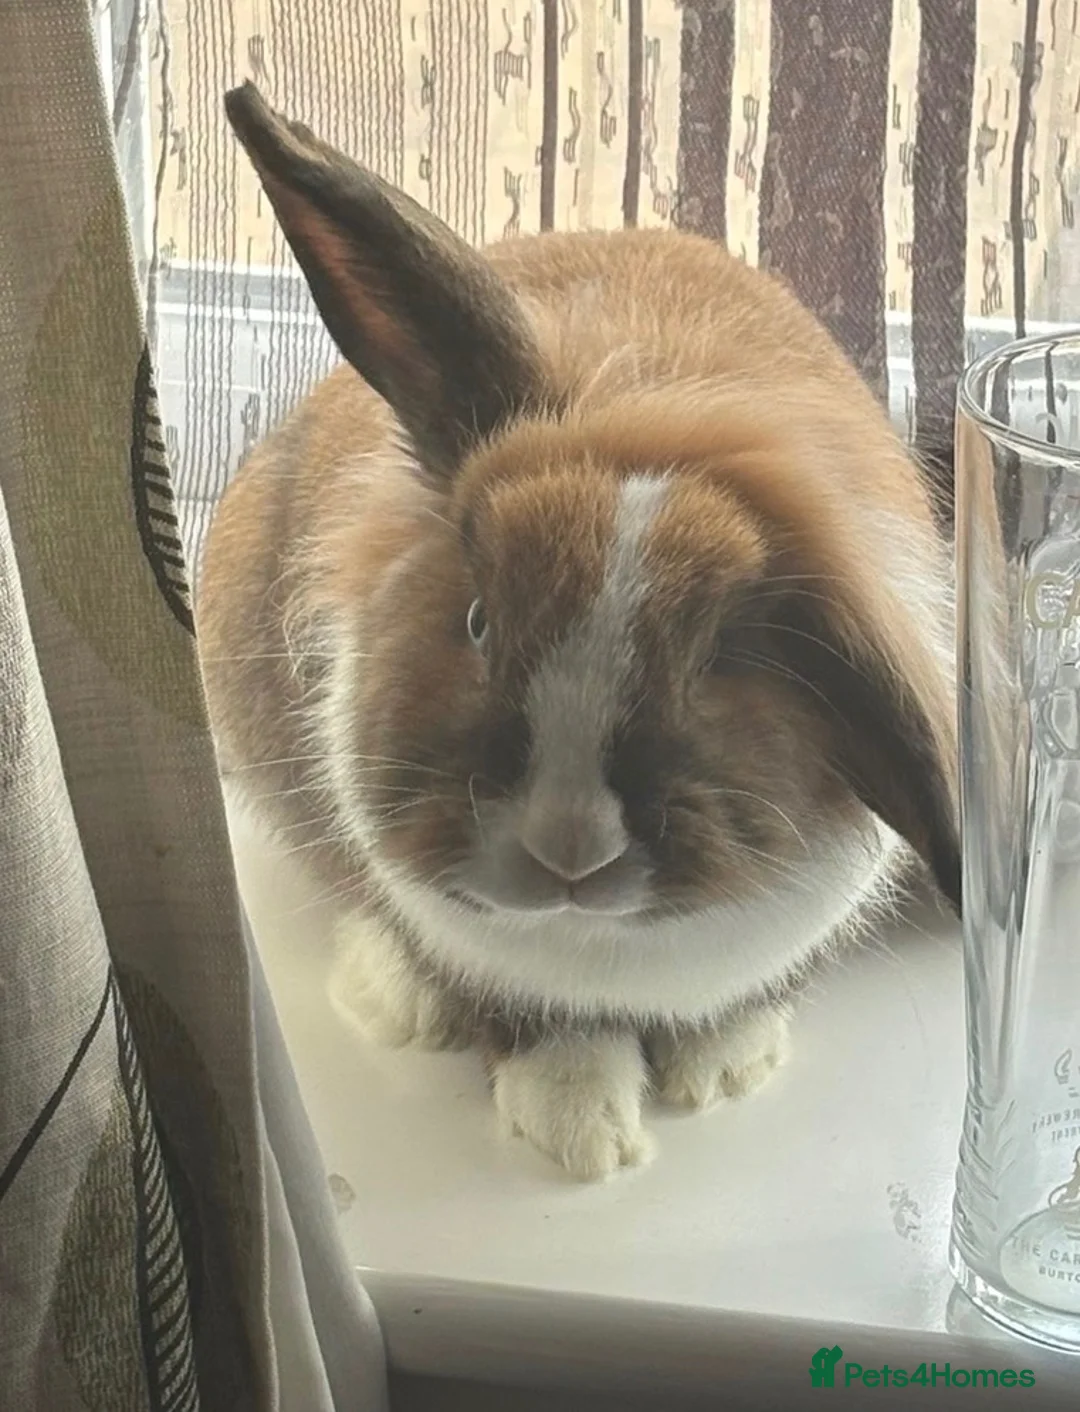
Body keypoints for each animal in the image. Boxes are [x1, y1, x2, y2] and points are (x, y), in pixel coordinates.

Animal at [196, 82, 960, 1182]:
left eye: (726, 654)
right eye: (477, 619)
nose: (566, 846)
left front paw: (720, 1064)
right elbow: (531, 1022)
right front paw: (581, 1129)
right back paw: (400, 996)